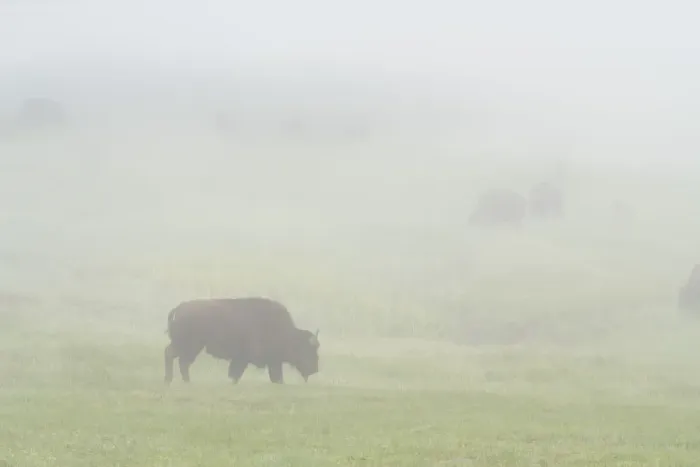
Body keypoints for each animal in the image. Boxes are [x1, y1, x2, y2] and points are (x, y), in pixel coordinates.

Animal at [164, 297, 320, 384]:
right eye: (309, 350)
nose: (315, 369)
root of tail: (179, 308)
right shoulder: (248, 358)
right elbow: (237, 372)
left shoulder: (270, 361)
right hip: (190, 345)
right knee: (178, 359)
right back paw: (178, 380)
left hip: (190, 346)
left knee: (178, 359)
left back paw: (177, 380)